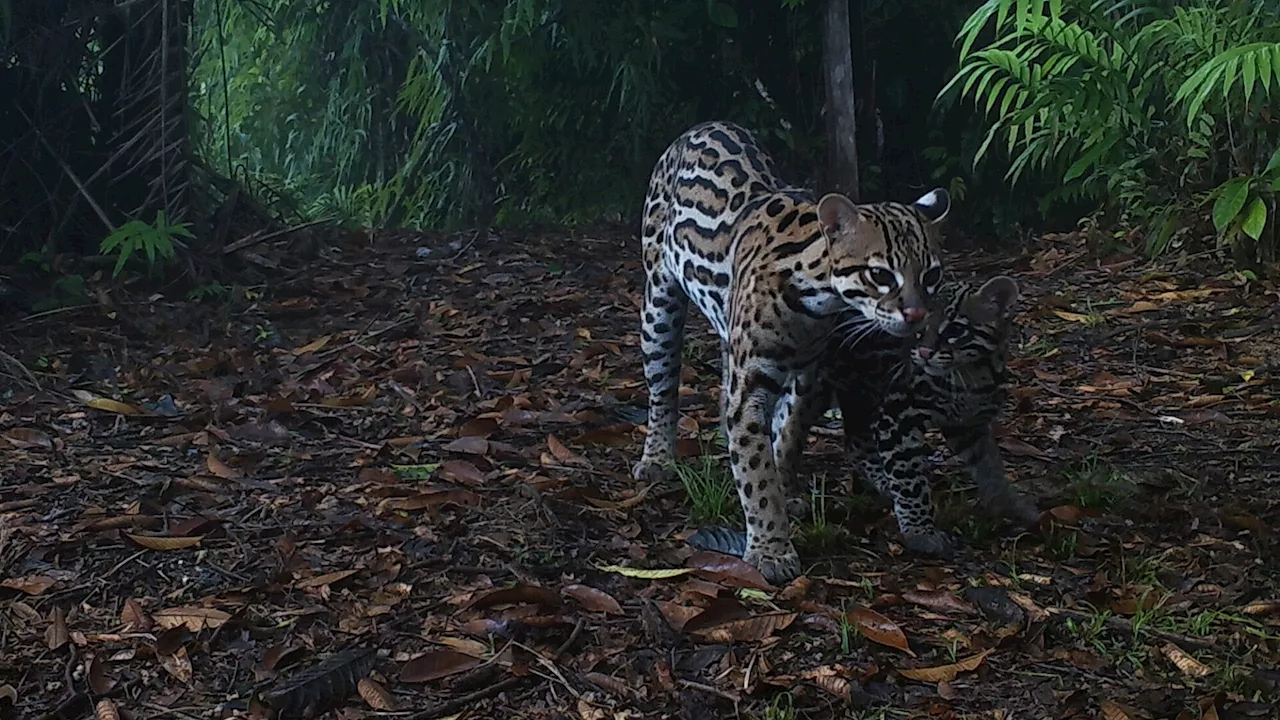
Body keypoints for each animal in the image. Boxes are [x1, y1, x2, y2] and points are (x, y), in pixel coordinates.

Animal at [632, 120, 952, 579]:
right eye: (880, 274)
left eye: (931, 276)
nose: (916, 315)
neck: (816, 300)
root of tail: (703, 125)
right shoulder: (749, 385)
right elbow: (756, 470)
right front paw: (771, 547)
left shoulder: (808, 377)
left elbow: (786, 438)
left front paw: (785, 490)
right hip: (659, 303)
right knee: (662, 388)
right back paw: (657, 456)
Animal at [829, 271, 1039, 550]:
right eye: (918, 327)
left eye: (956, 329)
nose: (925, 352)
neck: (973, 373)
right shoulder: (897, 415)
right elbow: (909, 479)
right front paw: (920, 532)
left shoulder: (967, 424)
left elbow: (990, 464)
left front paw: (1006, 504)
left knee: (855, 442)